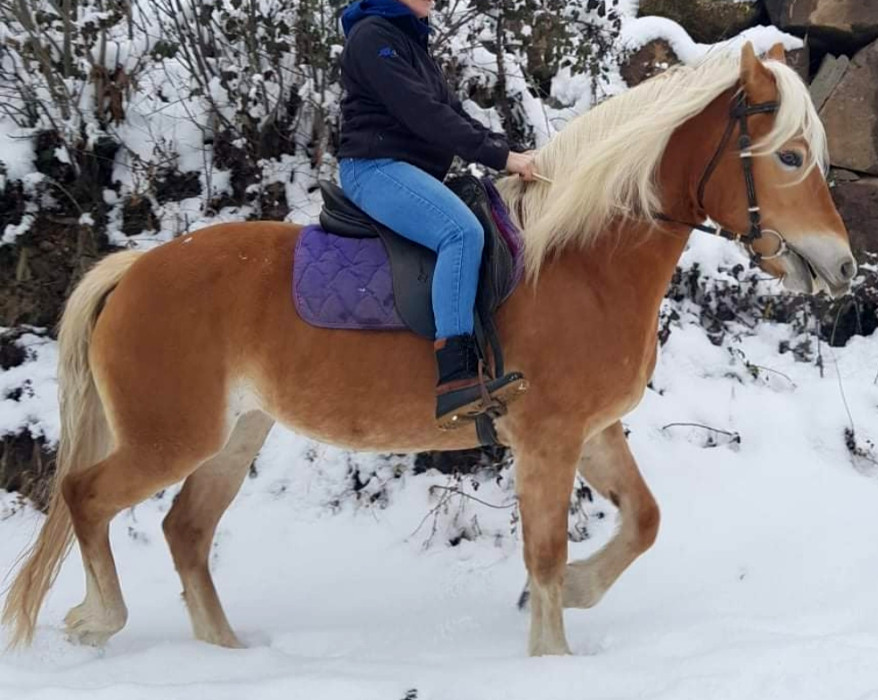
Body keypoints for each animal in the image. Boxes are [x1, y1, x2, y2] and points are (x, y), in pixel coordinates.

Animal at [2, 42, 855, 657]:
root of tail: (132, 270)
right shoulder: (548, 442)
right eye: (788, 156)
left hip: (233, 436)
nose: (845, 266)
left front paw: (581, 593)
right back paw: (99, 620)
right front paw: (552, 657)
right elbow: (545, 553)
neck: (582, 264)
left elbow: (642, 520)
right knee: (85, 496)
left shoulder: (593, 432)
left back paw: (226, 653)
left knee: (185, 529)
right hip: (172, 437)